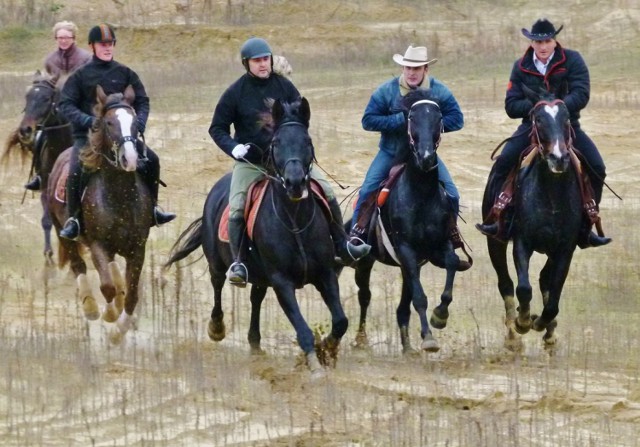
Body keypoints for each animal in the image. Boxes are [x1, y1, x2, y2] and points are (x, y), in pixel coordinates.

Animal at [1, 70, 72, 262]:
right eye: (28, 96)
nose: (25, 130)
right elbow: (47, 220)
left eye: (46, 98)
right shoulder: (46, 187)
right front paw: (48, 255)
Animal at [47, 84, 154, 344]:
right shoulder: (97, 244)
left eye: (135, 121)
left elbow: (132, 294)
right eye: (108, 123)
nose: (130, 158)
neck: (120, 197)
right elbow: (106, 287)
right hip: (63, 231)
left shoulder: (138, 248)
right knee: (79, 266)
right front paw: (110, 316)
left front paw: (118, 332)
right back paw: (91, 308)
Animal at [164, 98, 344, 378]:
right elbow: (302, 329)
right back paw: (217, 328)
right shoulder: (282, 282)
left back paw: (255, 342)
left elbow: (340, 321)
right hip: (218, 264)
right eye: (276, 142)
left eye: (307, 141)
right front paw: (314, 364)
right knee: (217, 287)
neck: (295, 220)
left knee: (255, 299)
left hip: (260, 275)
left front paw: (327, 349)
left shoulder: (325, 273)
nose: (294, 182)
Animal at [348, 89, 468, 356]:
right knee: (365, 296)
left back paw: (407, 347)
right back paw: (361, 339)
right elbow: (420, 298)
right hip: (366, 262)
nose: (426, 157)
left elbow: (452, 267)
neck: (421, 194)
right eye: (411, 117)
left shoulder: (440, 246)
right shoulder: (406, 250)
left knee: (402, 307)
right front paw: (429, 338)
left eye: (438, 117)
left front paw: (440, 316)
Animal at [480, 86, 584, 350]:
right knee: (506, 283)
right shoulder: (522, 242)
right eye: (538, 119)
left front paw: (541, 322)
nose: (559, 158)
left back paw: (549, 332)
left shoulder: (564, 249)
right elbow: (523, 288)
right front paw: (523, 322)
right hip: (494, 241)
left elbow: (553, 299)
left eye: (567, 118)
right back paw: (512, 334)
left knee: (545, 280)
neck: (551, 195)